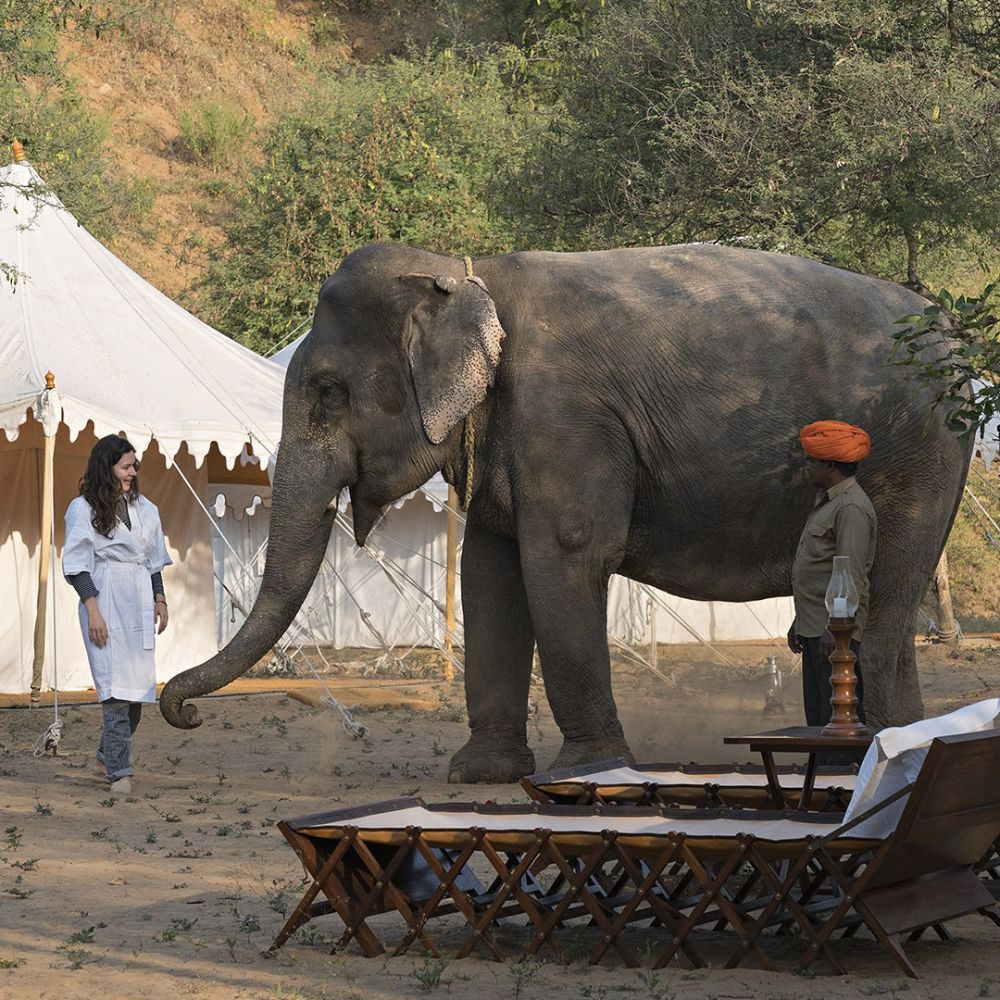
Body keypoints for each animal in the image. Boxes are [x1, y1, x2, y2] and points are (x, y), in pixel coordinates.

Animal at [160, 242, 969, 783]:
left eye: (328, 392)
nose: (182, 712)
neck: (469, 276)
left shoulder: (565, 418)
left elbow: (565, 556)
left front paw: (585, 773)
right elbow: (488, 572)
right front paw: (478, 773)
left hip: (918, 457)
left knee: (884, 605)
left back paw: (874, 752)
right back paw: (905, 744)